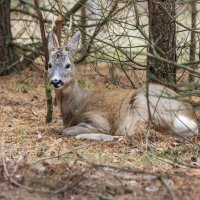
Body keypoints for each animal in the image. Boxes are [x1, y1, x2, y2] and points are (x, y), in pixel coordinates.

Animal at [47, 30, 198, 142]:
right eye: (49, 64)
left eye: (68, 65)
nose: (55, 81)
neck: (77, 104)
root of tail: (192, 120)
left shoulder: (98, 119)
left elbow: (66, 130)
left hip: (145, 102)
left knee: (134, 133)